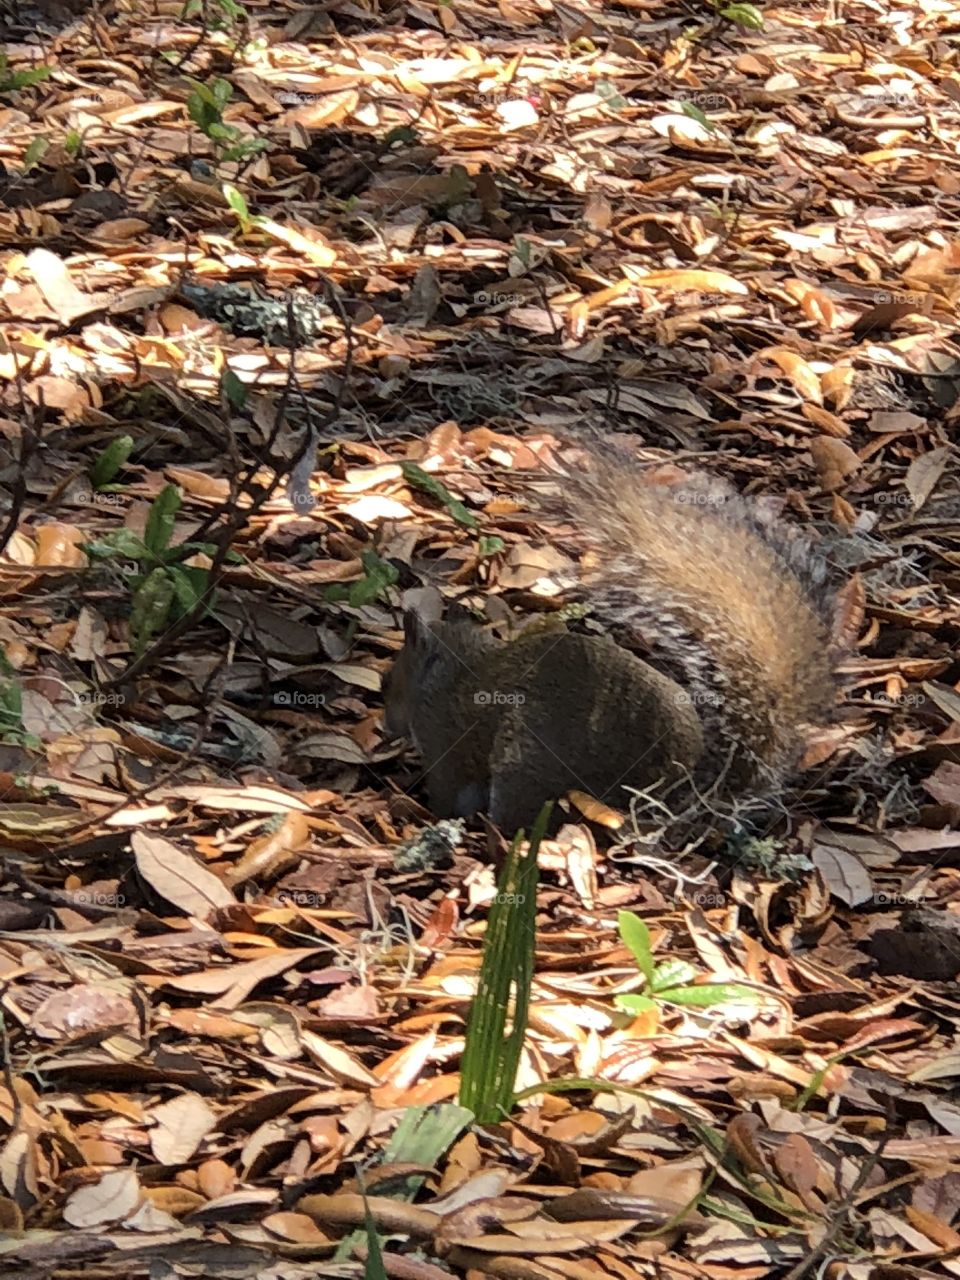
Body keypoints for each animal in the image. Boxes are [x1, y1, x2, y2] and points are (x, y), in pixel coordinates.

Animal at [382, 447, 843, 834]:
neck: (449, 666)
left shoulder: (444, 740)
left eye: (389, 682)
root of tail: (669, 791)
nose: (386, 728)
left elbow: (449, 793)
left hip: (527, 766)